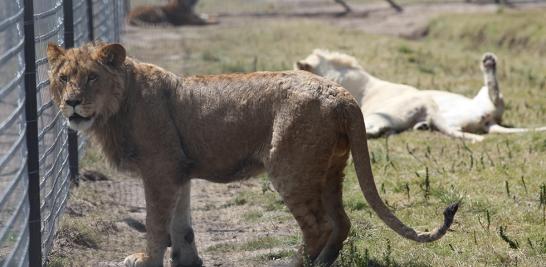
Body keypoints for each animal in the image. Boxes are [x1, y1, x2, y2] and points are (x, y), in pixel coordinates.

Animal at [45, 43, 454, 266]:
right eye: (63, 78)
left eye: (92, 77)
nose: (72, 102)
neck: (118, 105)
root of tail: (343, 95)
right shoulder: (178, 170)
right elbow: (181, 224)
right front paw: (187, 261)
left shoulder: (159, 170)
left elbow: (157, 222)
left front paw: (146, 259)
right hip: (329, 170)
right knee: (341, 222)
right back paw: (324, 262)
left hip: (290, 168)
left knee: (318, 226)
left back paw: (295, 264)